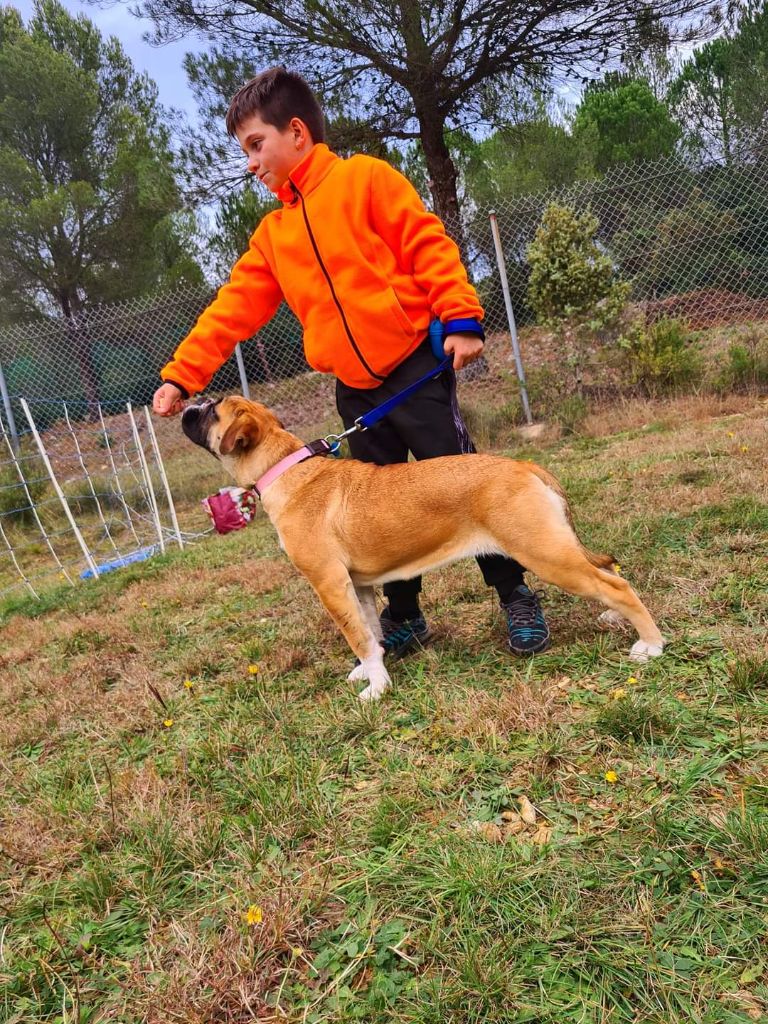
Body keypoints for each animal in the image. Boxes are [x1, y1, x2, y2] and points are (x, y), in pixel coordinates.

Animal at [183, 395, 663, 700]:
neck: (287, 470)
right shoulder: (357, 587)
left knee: (616, 586)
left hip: (545, 554)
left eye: (211, 410)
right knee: (610, 576)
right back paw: (618, 620)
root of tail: (525, 465)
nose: (186, 405)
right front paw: (372, 671)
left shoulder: (329, 584)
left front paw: (376, 690)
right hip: (558, 549)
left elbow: (357, 637)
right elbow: (369, 633)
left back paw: (650, 644)